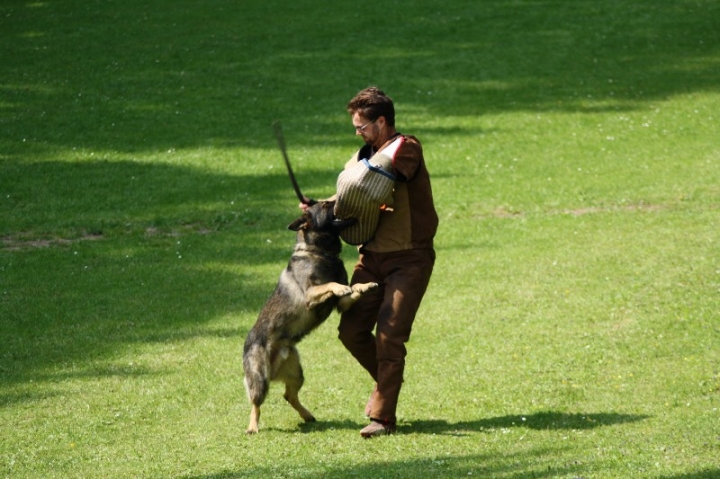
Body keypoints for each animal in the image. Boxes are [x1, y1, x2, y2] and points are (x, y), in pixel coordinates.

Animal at [242, 200, 376, 436]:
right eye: (325, 205)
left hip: (296, 373)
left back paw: (307, 416)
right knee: (256, 403)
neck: (320, 252)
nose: (336, 200)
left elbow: (352, 289)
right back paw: (253, 426)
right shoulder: (310, 295)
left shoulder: (341, 305)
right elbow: (330, 284)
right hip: (260, 378)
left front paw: (364, 286)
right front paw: (340, 286)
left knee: (289, 396)